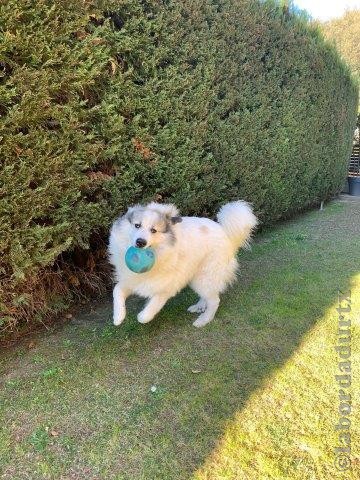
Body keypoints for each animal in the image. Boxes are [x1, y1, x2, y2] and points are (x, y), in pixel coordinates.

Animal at [108, 201, 258, 328]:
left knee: (214, 301)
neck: (159, 253)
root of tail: (225, 232)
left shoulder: (165, 288)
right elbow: (117, 291)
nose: (140, 242)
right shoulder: (130, 279)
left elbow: (148, 312)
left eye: (153, 230)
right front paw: (118, 317)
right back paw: (199, 306)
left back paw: (204, 320)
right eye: (137, 225)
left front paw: (141, 316)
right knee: (208, 296)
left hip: (204, 277)